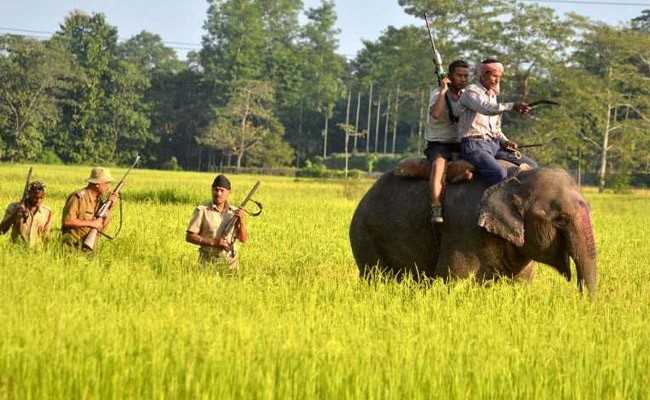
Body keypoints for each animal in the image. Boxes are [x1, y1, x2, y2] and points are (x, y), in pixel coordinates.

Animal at [349, 164, 597, 296]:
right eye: (561, 219)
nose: (584, 304)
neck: (514, 180)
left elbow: (520, 285)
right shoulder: (463, 231)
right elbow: (452, 280)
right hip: (365, 236)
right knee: (375, 276)